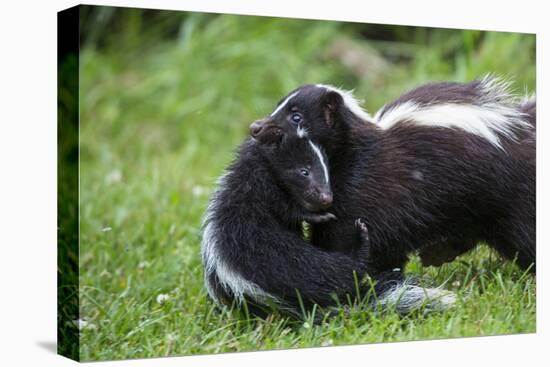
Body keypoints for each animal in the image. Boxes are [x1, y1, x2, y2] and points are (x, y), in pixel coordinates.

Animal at [203, 125, 458, 318]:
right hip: (282, 263)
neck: (255, 162)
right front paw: (319, 215)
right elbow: (288, 209)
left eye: (326, 168)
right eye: (304, 171)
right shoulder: (259, 187)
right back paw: (361, 243)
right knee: (335, 270)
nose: (326, 197)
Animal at [253, 77, 540, 274]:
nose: (256, 127)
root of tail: (523, 127)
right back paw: (435, 254)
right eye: (277, 107)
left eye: (296, 116)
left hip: (509, 193)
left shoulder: (372, 190)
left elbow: (356, 235)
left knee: (524, 234)